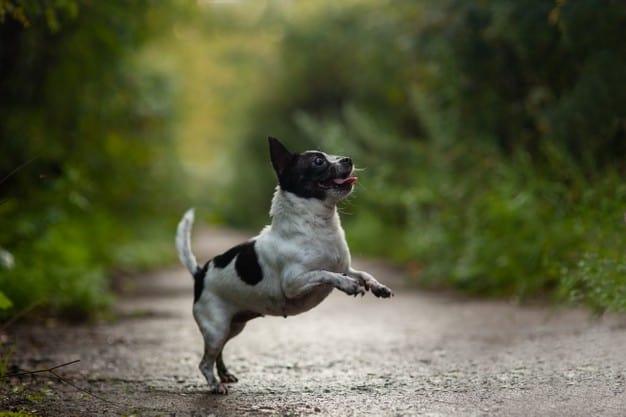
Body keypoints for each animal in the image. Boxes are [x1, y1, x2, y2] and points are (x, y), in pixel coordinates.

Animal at [176, 136, 390, 394]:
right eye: (318, 161)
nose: (348, 159)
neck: (317, 226)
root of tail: (200, 273)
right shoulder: (294, 283)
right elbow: (325, 273)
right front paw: (347, 285)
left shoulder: (345, 267)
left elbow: (362, 273)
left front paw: (377, 286)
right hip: (216, 329)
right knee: (204, 362)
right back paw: (215, 385)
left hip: (232, 327)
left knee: (218, 353)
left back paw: (224, 374)